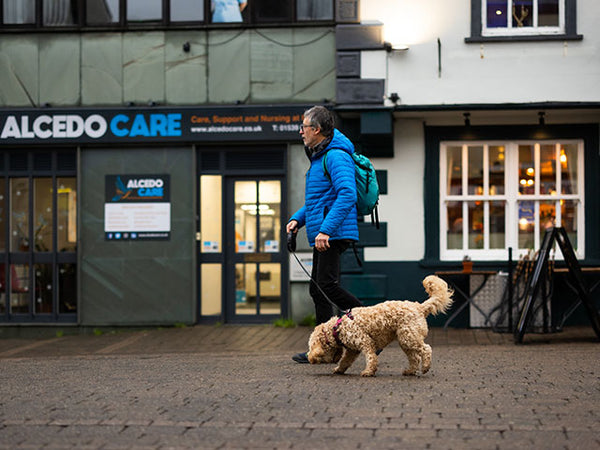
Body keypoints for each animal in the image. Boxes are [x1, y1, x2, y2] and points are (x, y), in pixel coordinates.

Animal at [308, 274, 452, 376]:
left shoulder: (366, 342)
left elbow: (371, 358)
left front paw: (368, 371)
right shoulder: (352, 350)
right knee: (415, 357)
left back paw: (426, 367)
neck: (338, 328)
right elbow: (345, 361)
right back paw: (410, 371)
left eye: (310, 347)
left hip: (409, 337)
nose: (309, 359)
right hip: (405, 340)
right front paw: (339, 369)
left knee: (426, 349)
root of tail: (419, 307)